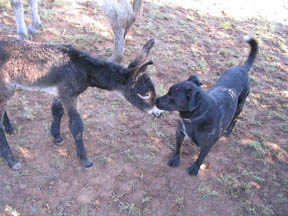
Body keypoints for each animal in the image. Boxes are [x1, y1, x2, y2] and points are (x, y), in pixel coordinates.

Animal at [0, 37, 160, 170]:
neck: (83, 68)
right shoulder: (68, 95)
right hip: (6, 87)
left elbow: (57, 111)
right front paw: (84, 159)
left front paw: (56, 136)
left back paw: (9, 128)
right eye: (145, 94)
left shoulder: (60, 93)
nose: (158, 113)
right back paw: (12, 161)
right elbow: (76, 125)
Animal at [10, 0, 143, 63]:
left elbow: (15, 3)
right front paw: (35, 26)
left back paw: (115, 58)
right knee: (128, 13)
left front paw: (21, 34)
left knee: (118, 15)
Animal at [156, 35, 258, 176]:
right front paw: (175, 159)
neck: (194, 118)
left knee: (235, 119)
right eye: (168, 92)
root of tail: (242, 68)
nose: (155, 100)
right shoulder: (179, 133)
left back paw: (228, 131)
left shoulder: (207, 145)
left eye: (172, 97)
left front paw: (195, 168)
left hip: (240, 104)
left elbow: (201, 158)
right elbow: (178, 148)